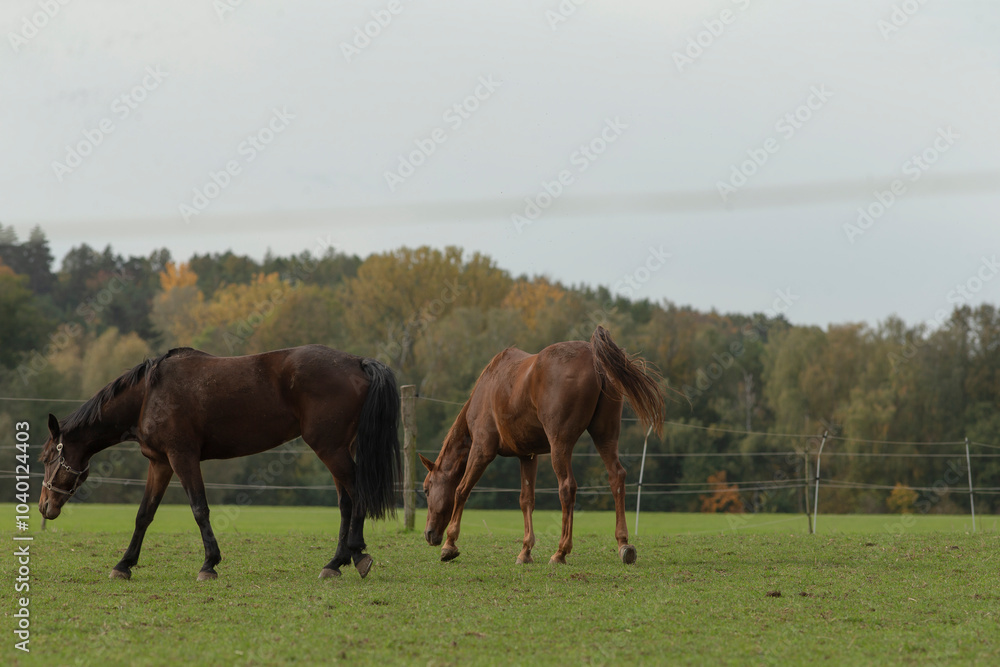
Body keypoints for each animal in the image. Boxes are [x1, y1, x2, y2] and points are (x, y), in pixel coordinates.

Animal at [38, 344, 400, 581]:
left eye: (47, 457)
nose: (44, 506)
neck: (148, 394)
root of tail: (357, 362)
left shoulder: (183, 457)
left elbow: (200, 509)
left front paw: (209, 564)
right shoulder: (160, 463)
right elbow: (144, 515)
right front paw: (124, 564)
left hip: (330, 448)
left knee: (357, 495)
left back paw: (358, 553)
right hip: (337, 448)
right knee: (346, 502)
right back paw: (336, 562)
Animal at [421, 326, 664, 565]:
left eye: (426, 489)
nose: (429, 534)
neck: (487, 388)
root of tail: (594, 358)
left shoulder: (482, 450)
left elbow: (461, 490)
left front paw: (449, 544)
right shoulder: (528, 456)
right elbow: (526, 500)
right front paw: (525, 551)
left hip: (560, 444)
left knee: (567, 487)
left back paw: (561, 552)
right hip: (605, 436)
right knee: (616, 477)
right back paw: (624, 545)